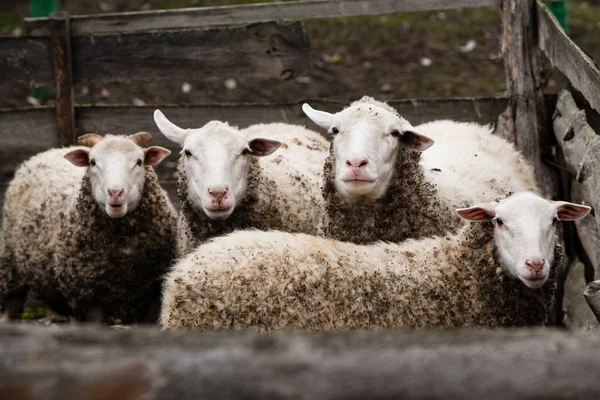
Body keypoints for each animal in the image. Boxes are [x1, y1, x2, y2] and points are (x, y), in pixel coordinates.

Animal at [0, 132, 178, 322]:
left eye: (139, 161)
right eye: (92, 162)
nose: (115, 193)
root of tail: (51, 151)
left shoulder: (152, 296)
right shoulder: (86, 296)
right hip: (10, 264)